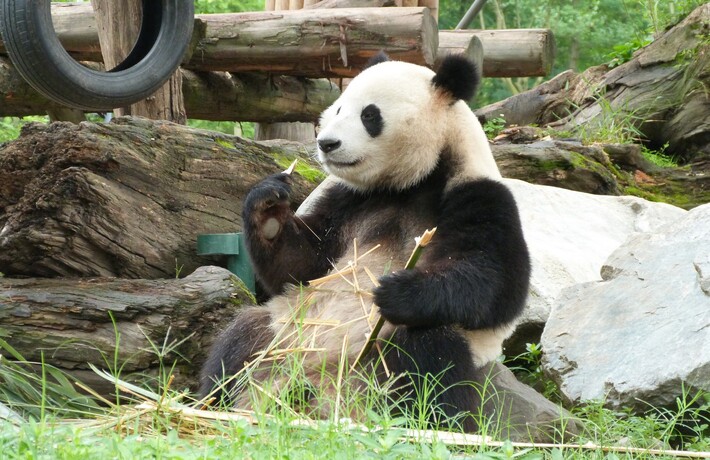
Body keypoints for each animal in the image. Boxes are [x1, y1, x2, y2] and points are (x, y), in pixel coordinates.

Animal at [200, 53, 531, 432]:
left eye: (369, 115)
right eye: (339, 108)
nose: (326, 143)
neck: (410, 183)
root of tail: (324, 392)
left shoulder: (478, 195)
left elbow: (495, 284)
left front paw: (399, 290)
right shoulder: (349, 201)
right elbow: (301, 265)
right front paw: (267, 209)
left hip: (381, 357)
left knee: (430, 359)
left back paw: (433, 424)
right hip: (285, 332)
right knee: (239, 341)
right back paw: (217, 404)